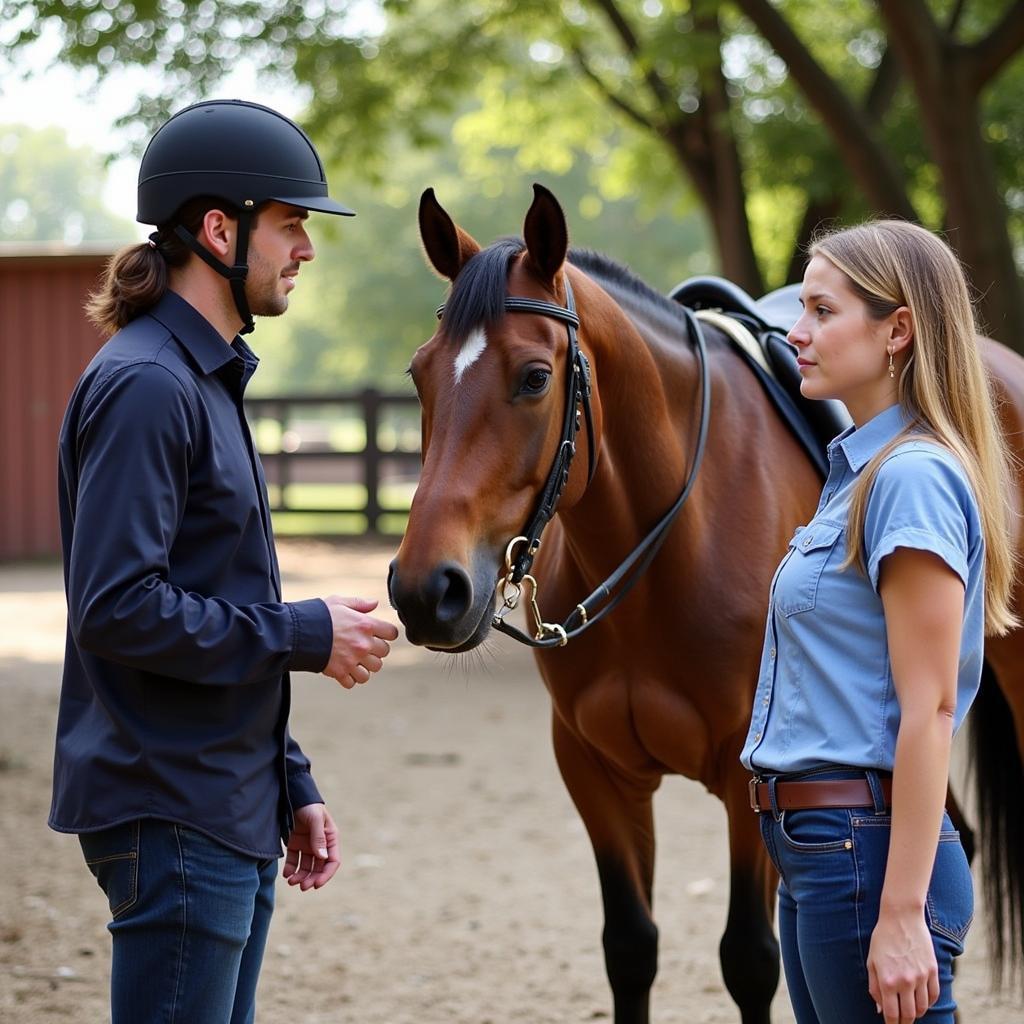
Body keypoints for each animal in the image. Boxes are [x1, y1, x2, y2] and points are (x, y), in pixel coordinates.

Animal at [385, 186, 1024, 1024]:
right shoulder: (595, 772)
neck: (670, 544)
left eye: (533, 377)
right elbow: (630, 948)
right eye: (420, 374)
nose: (426, 591)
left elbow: (748, 959)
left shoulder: (746, 774)